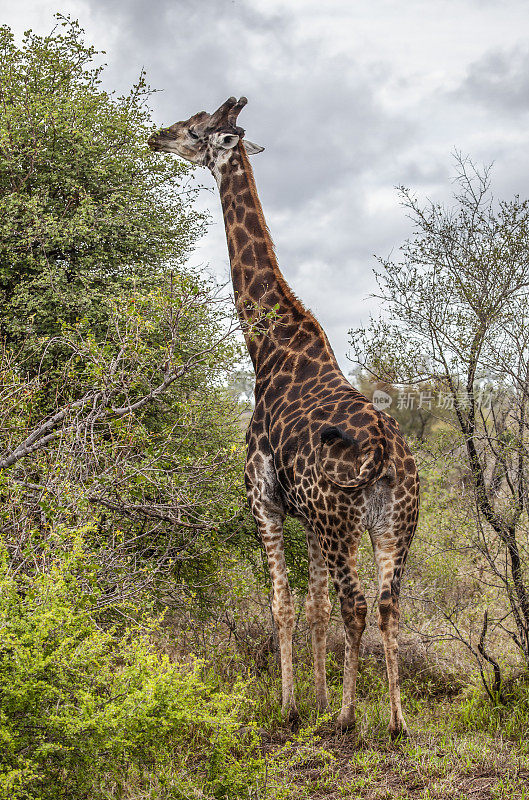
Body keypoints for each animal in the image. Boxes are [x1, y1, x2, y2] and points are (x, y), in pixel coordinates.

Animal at [150, 95, 420, 736]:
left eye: (196, 130)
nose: (155, 136)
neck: (268, 348)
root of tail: (387, 450)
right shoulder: (308, 519)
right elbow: (315, 606)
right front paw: (318, 698)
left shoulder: (265, 502)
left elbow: (283, 605)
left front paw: (295, 706)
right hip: (392, 523)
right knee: (388, 603)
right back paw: (394, 721)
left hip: (342, 518)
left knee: (357, 604)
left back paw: (349, 719)